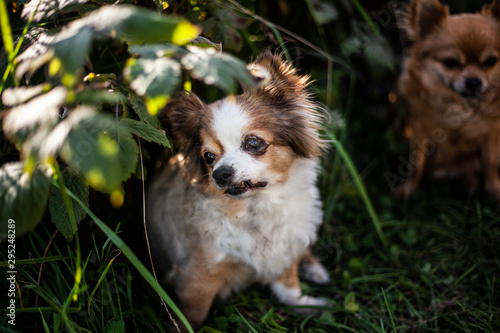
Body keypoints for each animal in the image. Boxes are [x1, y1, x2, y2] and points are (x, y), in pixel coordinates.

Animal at [146, 52, 330, 330]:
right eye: (208, 157)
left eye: (253, 143)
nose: (219, 174)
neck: (257, 208)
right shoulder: (198, 274)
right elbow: (193, 314)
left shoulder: (282, 250)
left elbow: (289, 289)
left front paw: (309, 305)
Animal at [392, 0, 500, 197]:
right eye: (451, 62)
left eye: (491, 61)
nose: (474, 81)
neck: (459, 105)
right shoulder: (419, 130)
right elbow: (416, 164)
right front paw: (408, 188)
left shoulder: (492, 132)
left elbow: (490, 163)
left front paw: (495, 191)